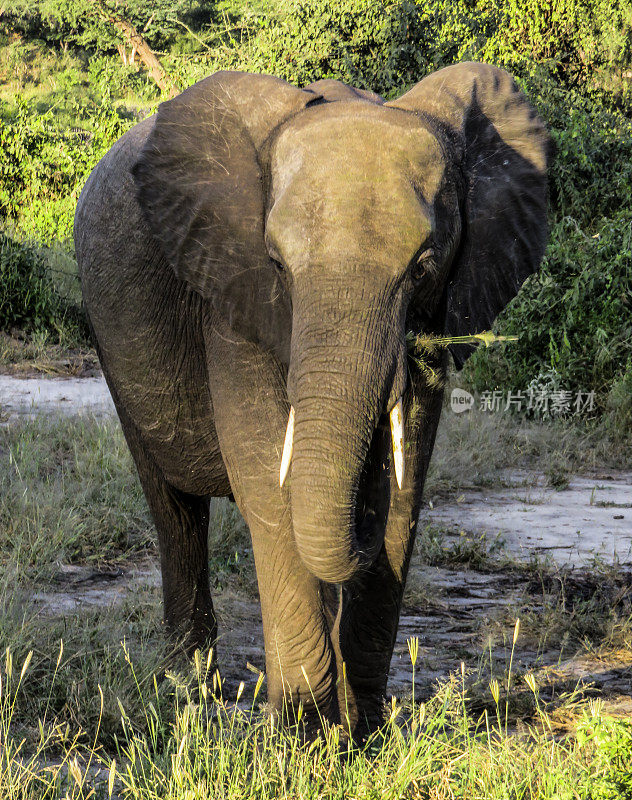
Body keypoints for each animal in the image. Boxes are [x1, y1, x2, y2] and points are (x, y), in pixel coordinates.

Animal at [73, 62, 548, 736]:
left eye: (425, 265)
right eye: (276, 263)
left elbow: (406, 488)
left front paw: (364, 730)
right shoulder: (229, 290)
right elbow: (267, 483)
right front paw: (302, 733)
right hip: (111, 334)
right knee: (174, 508)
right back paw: (189, 687)